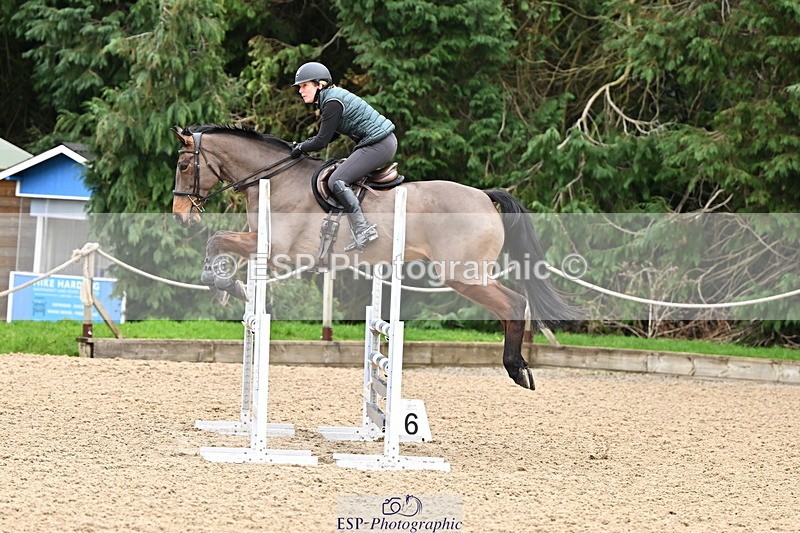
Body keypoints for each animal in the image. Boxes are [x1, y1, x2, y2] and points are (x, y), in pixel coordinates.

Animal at [171, 124, 581, 390]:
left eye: (184, 165)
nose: (180, 214)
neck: (276, 178)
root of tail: (484, 196)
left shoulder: (275, 251)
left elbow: (216, 240)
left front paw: (224, 286)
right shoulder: (260, 244)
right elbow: (219, 245)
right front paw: (228, 287)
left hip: (462, 274)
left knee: (514, 302)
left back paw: (517, 370)